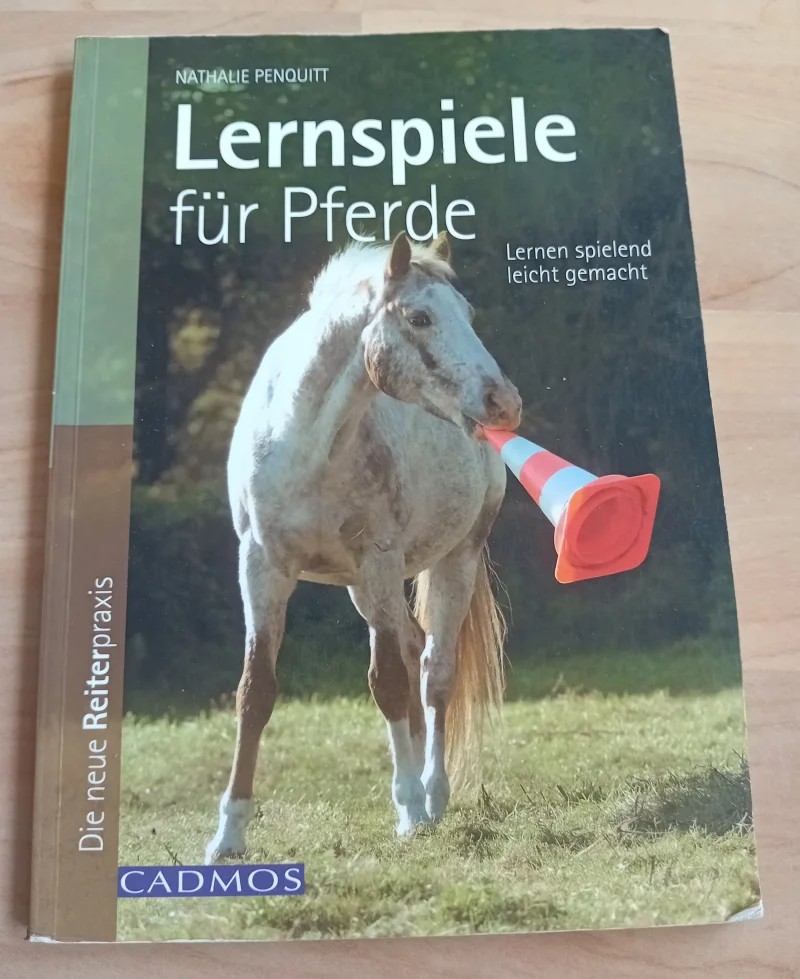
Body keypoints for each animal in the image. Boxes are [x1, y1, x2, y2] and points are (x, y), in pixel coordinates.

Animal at [205, 231, 522, 863]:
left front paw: (409, 811)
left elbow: (389, 684)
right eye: (420, 317)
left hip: (452, 561)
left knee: (434, 670)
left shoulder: (378, 560)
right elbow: (255, 692)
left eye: (468, 313)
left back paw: (433, 796)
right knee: (413, 647)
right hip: (363, 588)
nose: (504, 402)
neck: (306, 442)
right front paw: (228, 835)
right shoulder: (262, 568)